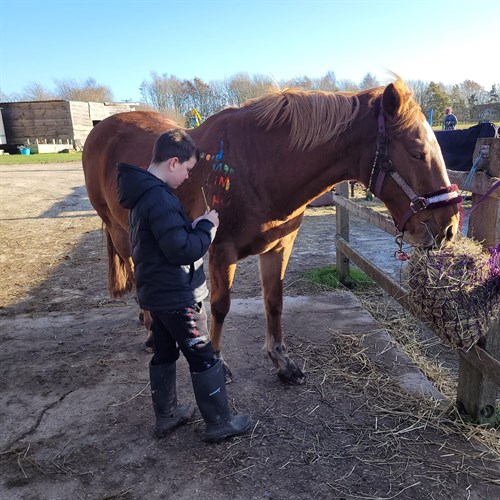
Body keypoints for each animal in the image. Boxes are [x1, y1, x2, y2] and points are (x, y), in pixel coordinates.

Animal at [83, 78, 460, 384]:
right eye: (417, 152)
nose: (449, 226)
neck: (259, 164)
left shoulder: (279, 247)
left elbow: (274, 301)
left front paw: (281, 361)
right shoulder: (220, 252)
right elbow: (221, 307)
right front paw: (217, 360)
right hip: (121, 231)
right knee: (137, 274)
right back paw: (149, 328)